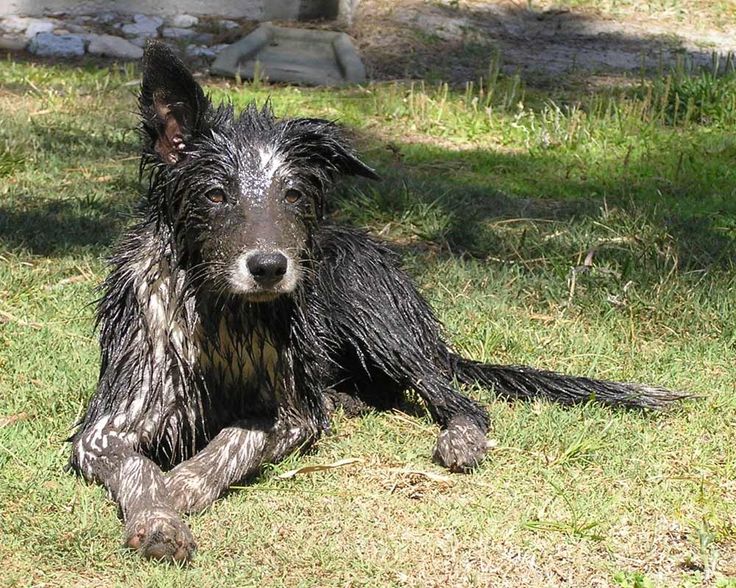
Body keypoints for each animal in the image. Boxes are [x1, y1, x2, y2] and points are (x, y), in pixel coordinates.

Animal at [69, 43, 684, 564]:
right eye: (216, 195)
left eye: (293, 194)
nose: (269, 267)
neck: (223, 315)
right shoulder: (104, 430)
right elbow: (139, 470)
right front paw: (159, 516)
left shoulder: (290, 415)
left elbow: (231, 441)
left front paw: (182, 485)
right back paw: (348, 400)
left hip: (368, 304)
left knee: (456, 398)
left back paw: (458, 436)